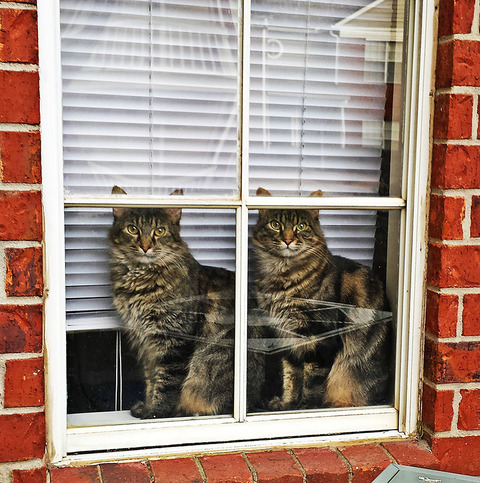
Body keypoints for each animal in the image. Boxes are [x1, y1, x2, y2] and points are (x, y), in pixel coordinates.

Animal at [109, 187, 262, 418]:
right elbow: (151, 379)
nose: (145, 246)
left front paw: (155, 413)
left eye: (160, 231)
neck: (140, 279)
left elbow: (166, 384)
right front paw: (146, 405)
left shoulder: (173, 339)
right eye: (132, 229)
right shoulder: (147, 342)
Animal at [251, 187, 390, 410]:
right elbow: (291, 378)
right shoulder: (287, 337)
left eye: (301, 226)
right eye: (276, 225)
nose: (288, 240)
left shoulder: (320, 339)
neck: (282, 276)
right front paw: (287, 404)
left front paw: (305, 409)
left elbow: (311, 384)